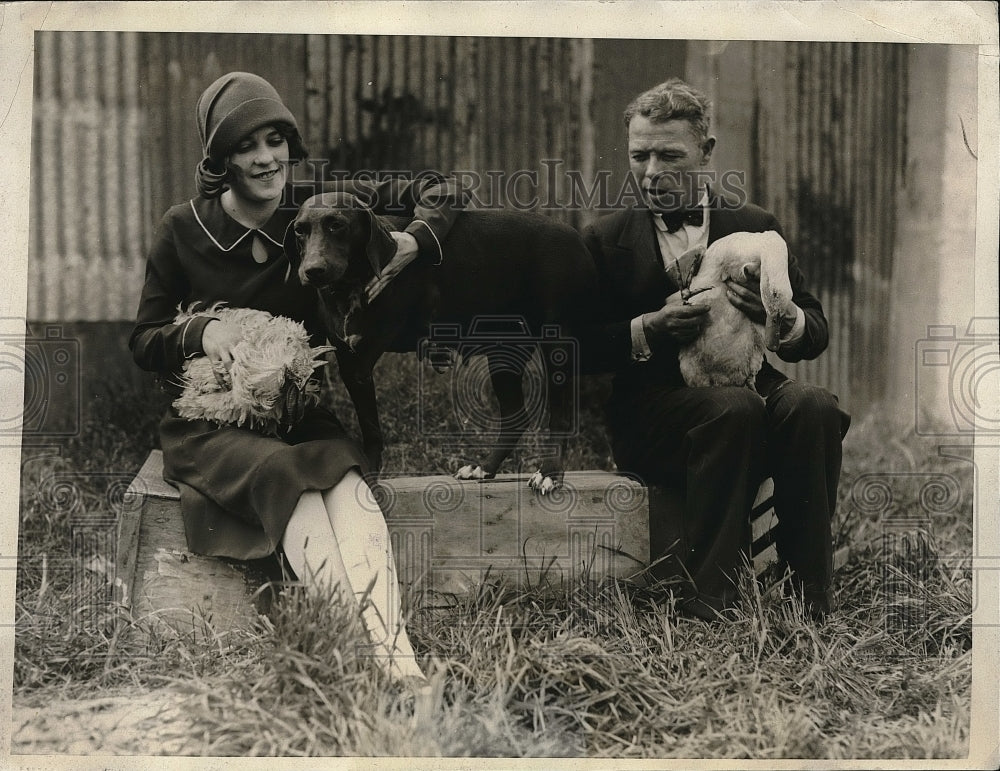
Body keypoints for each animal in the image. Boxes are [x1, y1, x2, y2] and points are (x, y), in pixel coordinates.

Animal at [282, 193, 596, 494]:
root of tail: (576, 237)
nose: (313, 270)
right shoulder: (351, 363)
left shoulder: (363, 359)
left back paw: (550, 473)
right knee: (515, 417)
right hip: (504, 352)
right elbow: (369, 426)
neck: (350, 285)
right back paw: (485, 467)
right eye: (300, 230)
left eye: (337, 225)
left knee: (560, 418)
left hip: (557, 345)